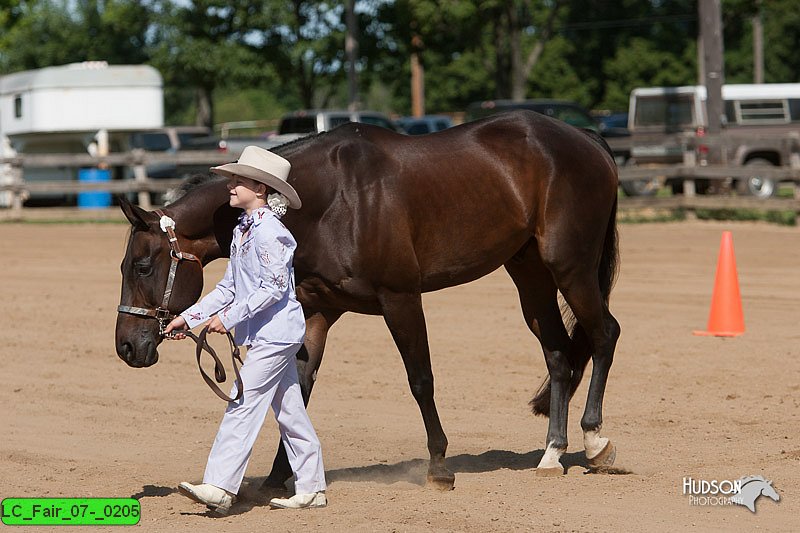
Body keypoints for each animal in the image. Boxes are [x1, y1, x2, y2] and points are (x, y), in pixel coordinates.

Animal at [115, 110, 620, 488]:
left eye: (142, 267)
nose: (127, 347)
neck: (333, 200)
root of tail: (585, 137)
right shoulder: (317, 311)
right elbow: (298, 388)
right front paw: (283, 476)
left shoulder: (401, 299)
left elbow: (421, 380)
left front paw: (439, 466)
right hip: (529, 273)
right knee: (558, 353)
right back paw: (553, 453)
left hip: (570, 267)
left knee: (604, 335)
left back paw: (595, 441)